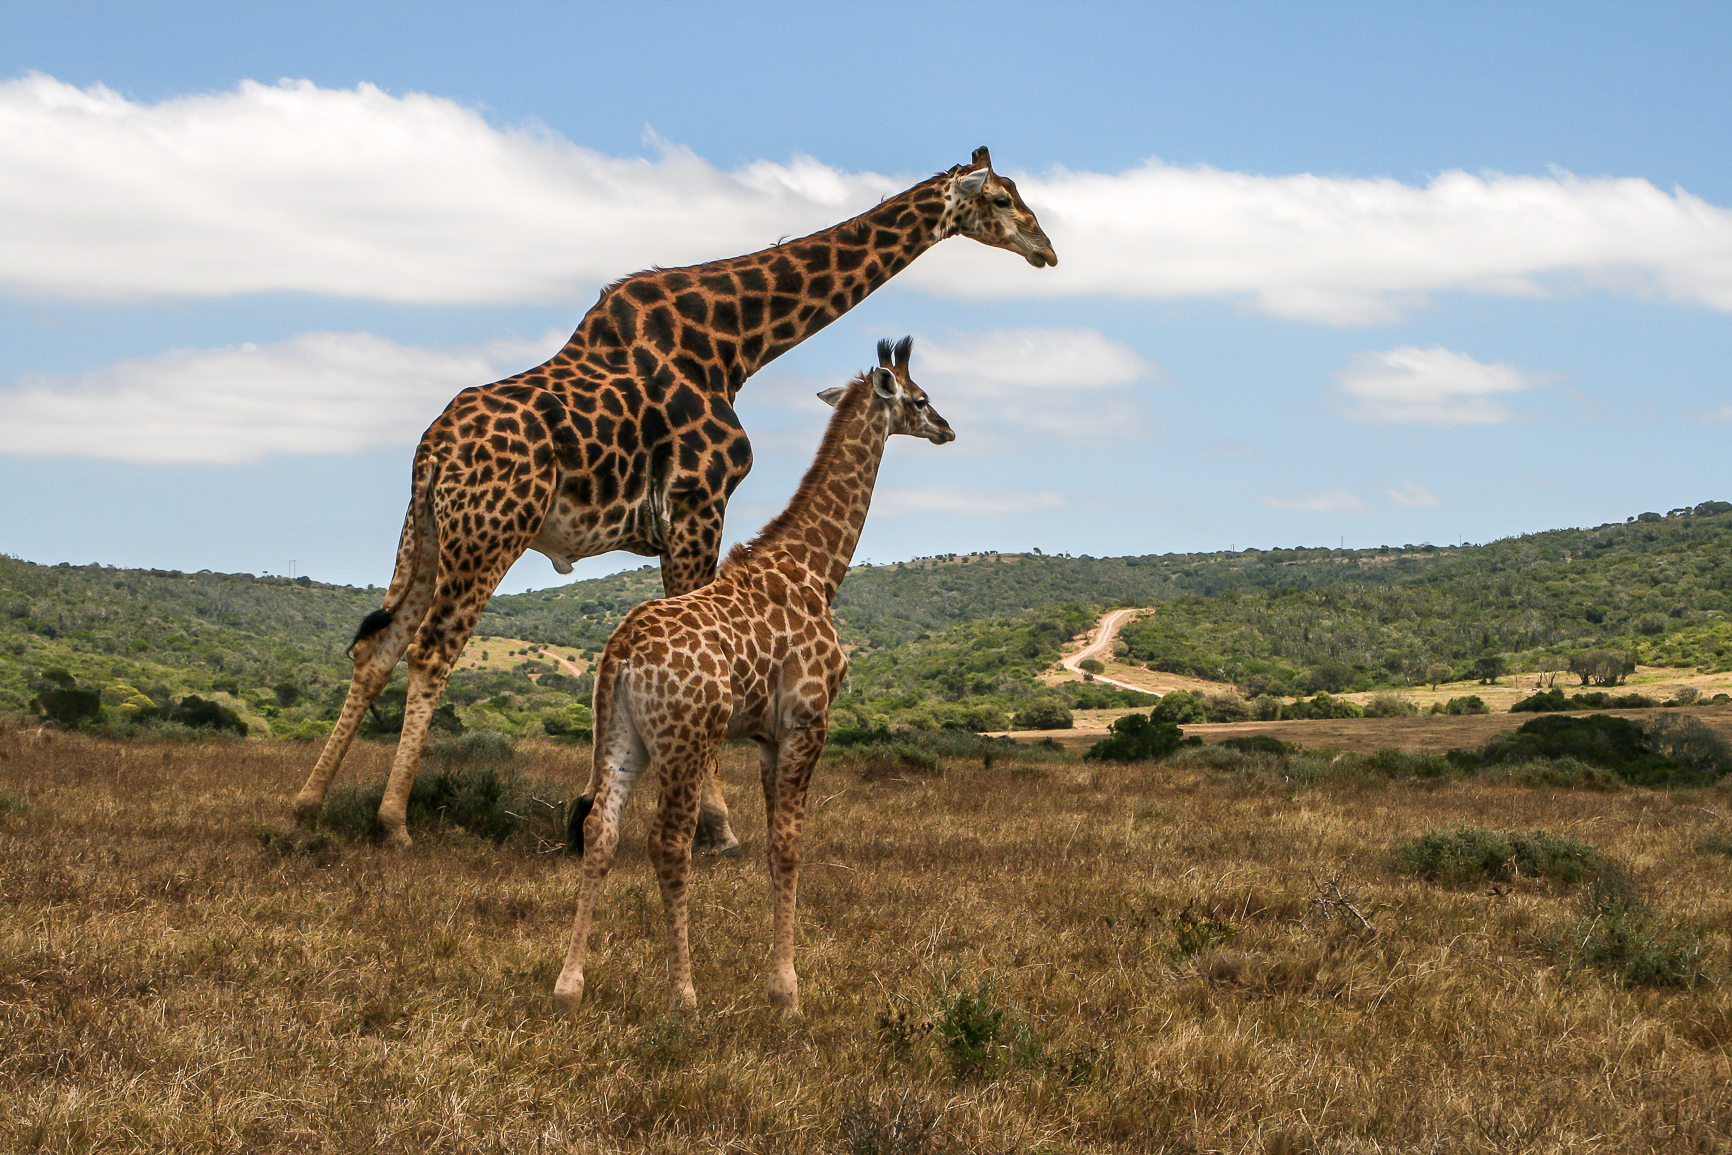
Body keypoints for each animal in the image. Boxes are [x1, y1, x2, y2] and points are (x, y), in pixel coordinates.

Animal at [292, 147, 1053, 848]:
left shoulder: (675, 520)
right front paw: (716, 826)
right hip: (491, 532)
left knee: (378, 645)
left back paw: (308, 806)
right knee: (431, 650)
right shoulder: (698, 499)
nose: (1046, 249)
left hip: (427, 533)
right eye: (1003, 199)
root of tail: (432, 450)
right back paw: (392, 820)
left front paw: (606, 810)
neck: (736, 342)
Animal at [554, 335, 949, 1018]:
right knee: (667, 843)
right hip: (686, 740)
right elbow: (789, 847)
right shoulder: (807, 722)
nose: (948, 428)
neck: (818, 569)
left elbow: (773, 846)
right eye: (920, 398)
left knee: (600, 831)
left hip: (621, 736)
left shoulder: (766, 736)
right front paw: (787, 992)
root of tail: (620, 653)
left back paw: (569, 984)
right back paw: (683, 995)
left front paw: (778, 982)